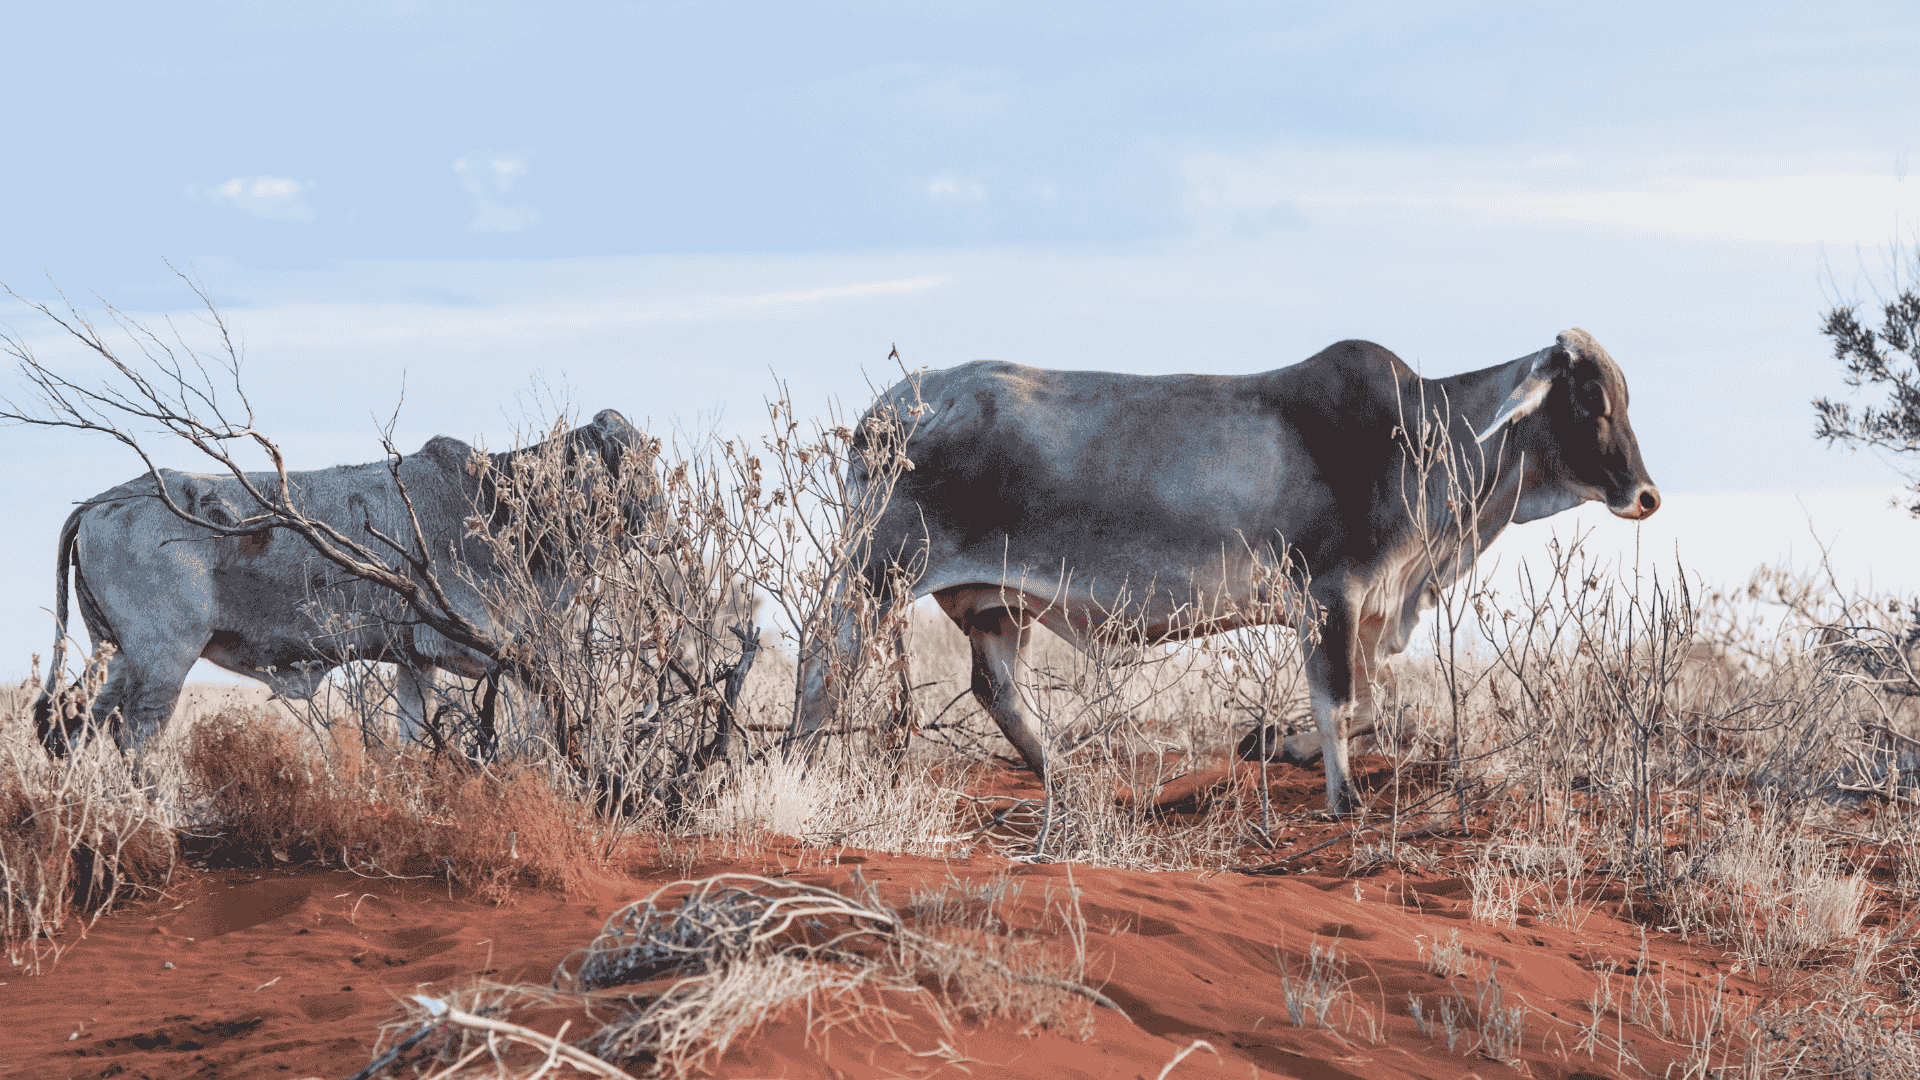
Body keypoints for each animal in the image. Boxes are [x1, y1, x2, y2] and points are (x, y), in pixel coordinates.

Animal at [33, 410, 652, 763]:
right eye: (630, 461)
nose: (656, 519)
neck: (495, 502)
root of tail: (103, 499)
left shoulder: (415, 661)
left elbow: (411, 737)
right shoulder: (470, 645)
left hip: (116, 656)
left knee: (73, 724)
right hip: (162, 659)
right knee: (133, 739)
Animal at [796, 329, 1659, 813]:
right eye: (1592, 400)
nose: (1646, 495)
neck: (1421, 437)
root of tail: (897, 405)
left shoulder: (1371, 611)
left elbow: (1382, 708)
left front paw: (1272, 743)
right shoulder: (1329, 594)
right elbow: (1343, 703)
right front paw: (1341, 798)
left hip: (989, 603)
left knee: (997, 689)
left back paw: (1066, 783)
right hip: (878, 573)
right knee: (825, 657)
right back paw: (800, 764)